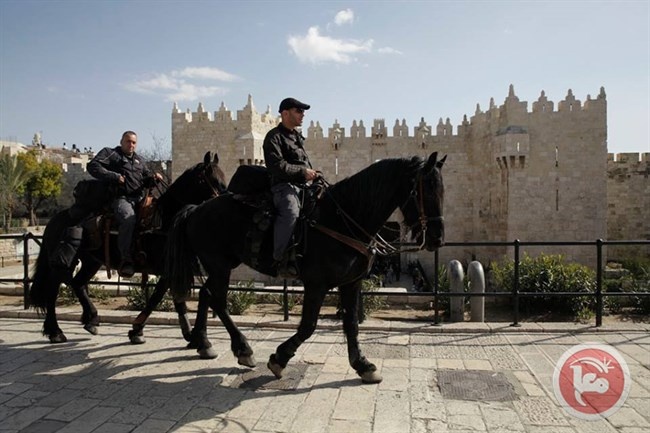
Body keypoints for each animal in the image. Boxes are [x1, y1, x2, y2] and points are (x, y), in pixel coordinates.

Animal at [29, 150, 227, 342]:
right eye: (212, 179)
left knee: (78, 283)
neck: (165, 219)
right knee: (53, 288)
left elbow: (174, 299)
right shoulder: (166, 269)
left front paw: (187, 333)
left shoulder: (171, 269)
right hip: (65, 261)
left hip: (92, 261)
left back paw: (91, 319)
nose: (222, 203)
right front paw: (137, 329)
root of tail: (55, 219)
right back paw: (55, 331)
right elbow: (157, 297)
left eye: (223, 180)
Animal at [165, 151, 442, 382]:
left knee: (206, 294)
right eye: (425, 191)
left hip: (222, 264)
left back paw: (203, 343)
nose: (437, 239)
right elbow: (309, 325)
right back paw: (243, 349)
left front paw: (363, 365)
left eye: (442, 190)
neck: (342, 219)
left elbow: (351, 323)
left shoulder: (352, 282)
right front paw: (279, 358)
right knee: (219, 300)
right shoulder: (316, 283)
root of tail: (196, 208)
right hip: (219, 264)